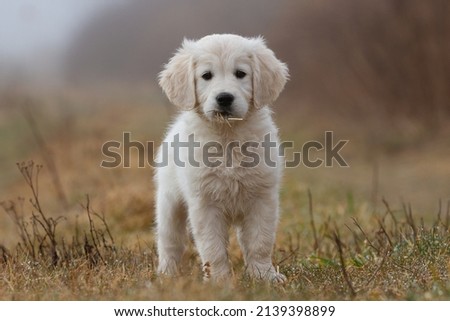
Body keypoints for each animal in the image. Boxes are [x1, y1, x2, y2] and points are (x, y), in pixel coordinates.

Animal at [155, 33, 288, 282]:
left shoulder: (262, 198)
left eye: (240, 73)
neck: (228, 136)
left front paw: (265, 276)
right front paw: (219, 281)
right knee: (169, 242)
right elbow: (213, 248)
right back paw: (166, 274)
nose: (224, 98)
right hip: (169, 204)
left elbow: (260, 242)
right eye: (207, 75)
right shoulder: (204, 203)